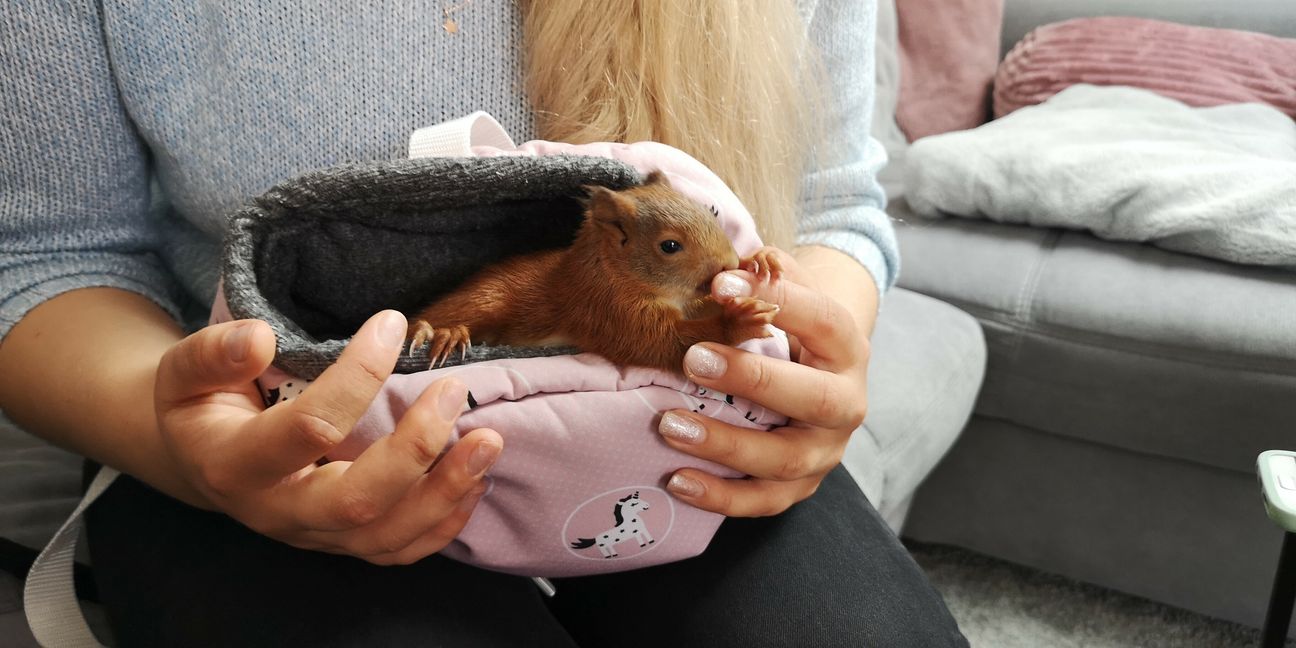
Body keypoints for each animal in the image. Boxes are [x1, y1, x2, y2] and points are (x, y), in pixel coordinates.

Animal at [406, 170, 783, 372]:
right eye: (670, 246)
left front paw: (760, 259)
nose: (728, 264)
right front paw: (737, 322)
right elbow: (662, 344)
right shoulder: (610, 313)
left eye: (712, 211)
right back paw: (441, 333)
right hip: (486, 299)